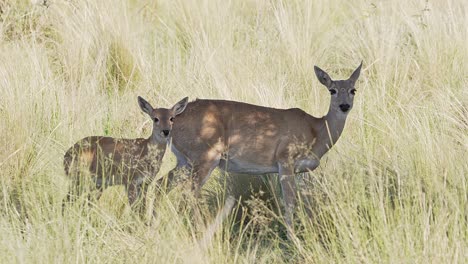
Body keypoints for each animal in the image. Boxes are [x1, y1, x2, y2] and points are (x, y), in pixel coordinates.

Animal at [157, 62, 362, 239]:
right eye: (332, 90)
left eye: (353, 90)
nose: (344, 106)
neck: (316, 131)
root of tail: (172, 118)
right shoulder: (285, 160)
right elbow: (290, 202)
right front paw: (293, 239)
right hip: (205, 157)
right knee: (189, 193)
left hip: (184, 161)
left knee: (162, 184)